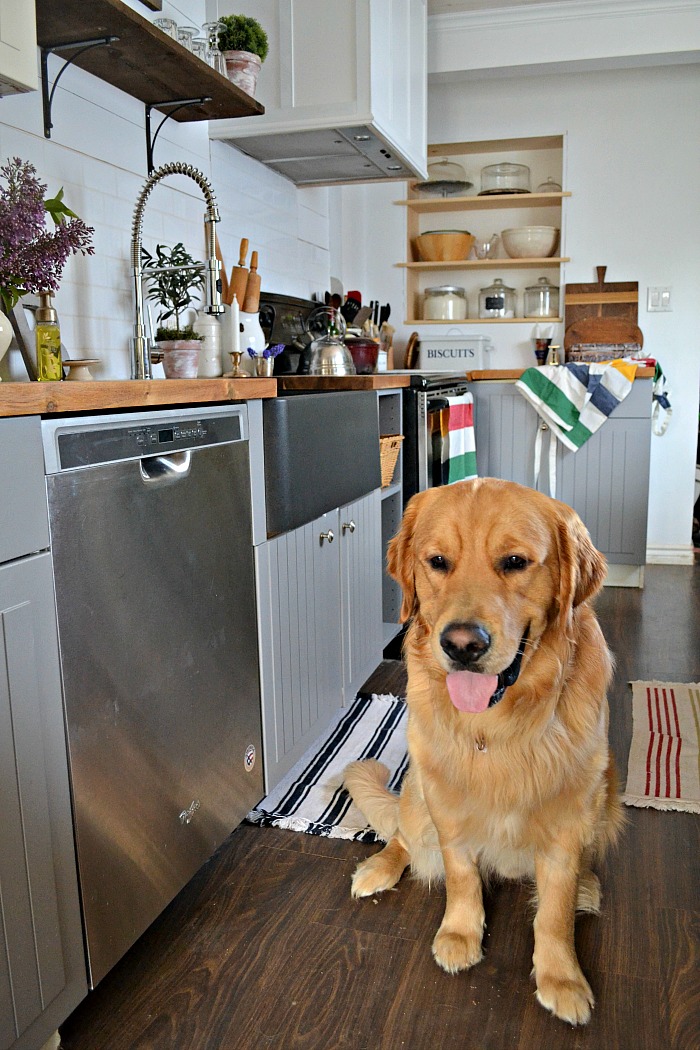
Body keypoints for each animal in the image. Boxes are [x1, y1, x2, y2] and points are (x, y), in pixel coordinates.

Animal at [344, 480, 625, 1020]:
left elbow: (554, 911)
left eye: (515, 561)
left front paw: (561, 978)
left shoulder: (570, 817)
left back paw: (586, 886)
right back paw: (378, 868)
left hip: (606, 802)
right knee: (403, 836)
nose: (462, 645)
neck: (497, 726)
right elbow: (460, 875)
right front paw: (460, 933)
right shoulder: (447, 800)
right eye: (437, 561)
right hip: (418, 791)